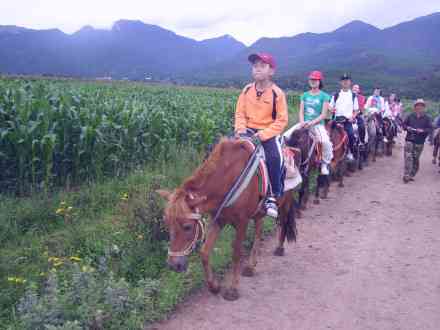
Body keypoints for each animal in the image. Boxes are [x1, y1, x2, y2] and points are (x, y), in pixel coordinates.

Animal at [156, 137, 298, 302]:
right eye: (167, 225)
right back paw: (250, 266)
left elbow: (236, 253)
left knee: (283, 222)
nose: (173, 265)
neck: (228, 179)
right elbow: (204, 252)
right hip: (258, 212)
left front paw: (232, 290)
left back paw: (279, 248)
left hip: (285, 202)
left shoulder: (242, 222)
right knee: (259, 230)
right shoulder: (219, 220)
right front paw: (214, 286)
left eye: (187, 227)